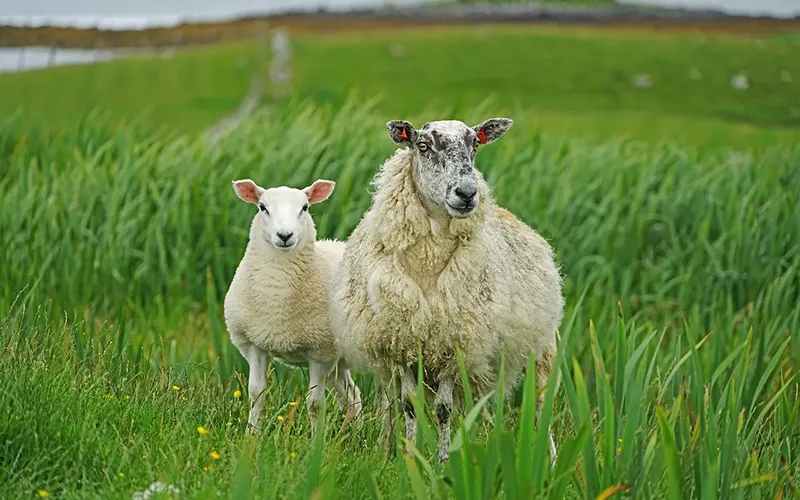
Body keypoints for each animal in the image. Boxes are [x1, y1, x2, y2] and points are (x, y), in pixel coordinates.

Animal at [224, 178, 362, 435]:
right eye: (262, 207)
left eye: (305, 208)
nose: (285, 235)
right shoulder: (254, 345)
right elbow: (256, 394)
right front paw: (252, 436)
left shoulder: (320, 353)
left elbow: (315, 404)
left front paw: (316, 441)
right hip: (339, 361)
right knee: (352, 395)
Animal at [330, 118, 564, 465]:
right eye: (423, 145)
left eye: (475, 144)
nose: (467, 193)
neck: (428, 261)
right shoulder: (403, 345)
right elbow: (409, 406)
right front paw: (409, 459)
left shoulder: (453, 344)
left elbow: (443, 409)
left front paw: (442, 463)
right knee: (395, 406)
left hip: (541, 349)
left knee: (539, 406)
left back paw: (548, 462)